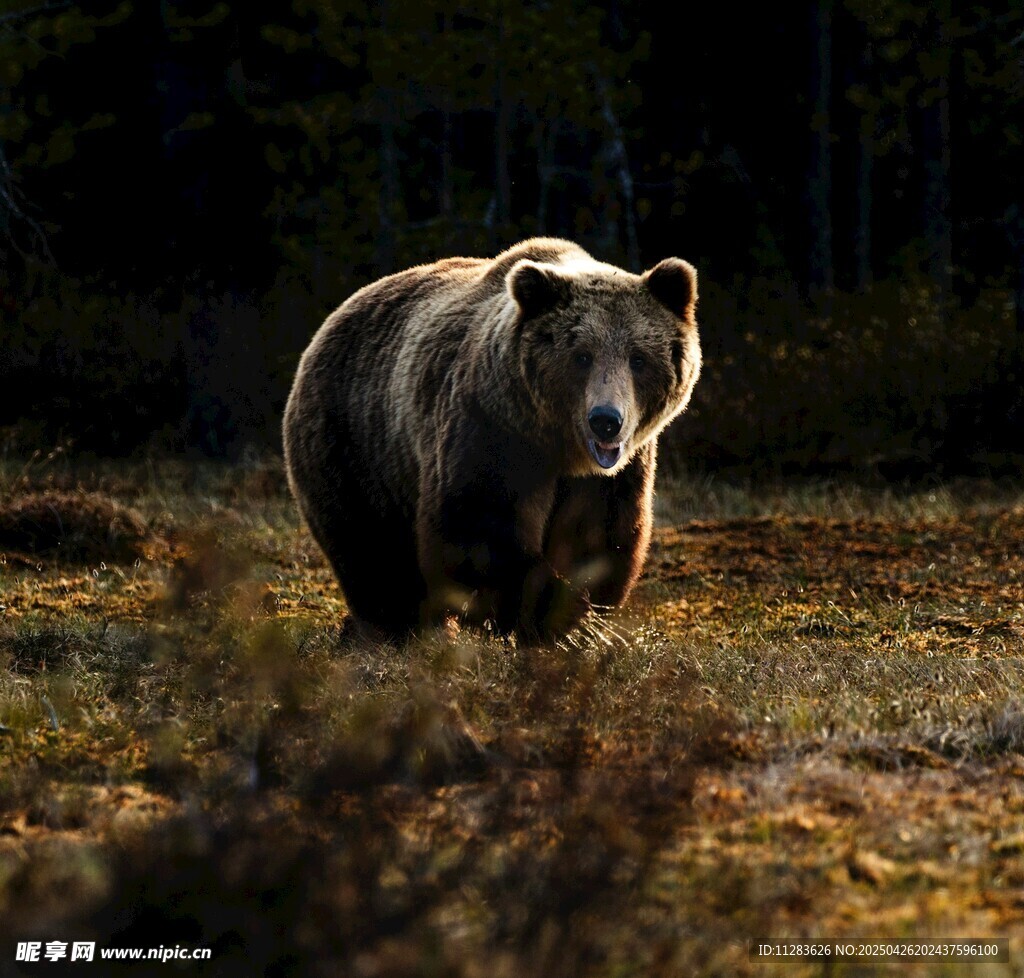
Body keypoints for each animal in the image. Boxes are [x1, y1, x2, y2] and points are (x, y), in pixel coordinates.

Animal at [282, 238, 701, 643]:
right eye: (581, 356)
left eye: (638, 358)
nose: (606, 421)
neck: (558, 446)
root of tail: (331, 319)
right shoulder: (490, 432)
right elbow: (477, 532)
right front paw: (531, 610)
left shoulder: (615, 474)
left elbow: (598, 538)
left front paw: (571, 621)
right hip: (354, 443)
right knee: (370, 551)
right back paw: (394, 629)